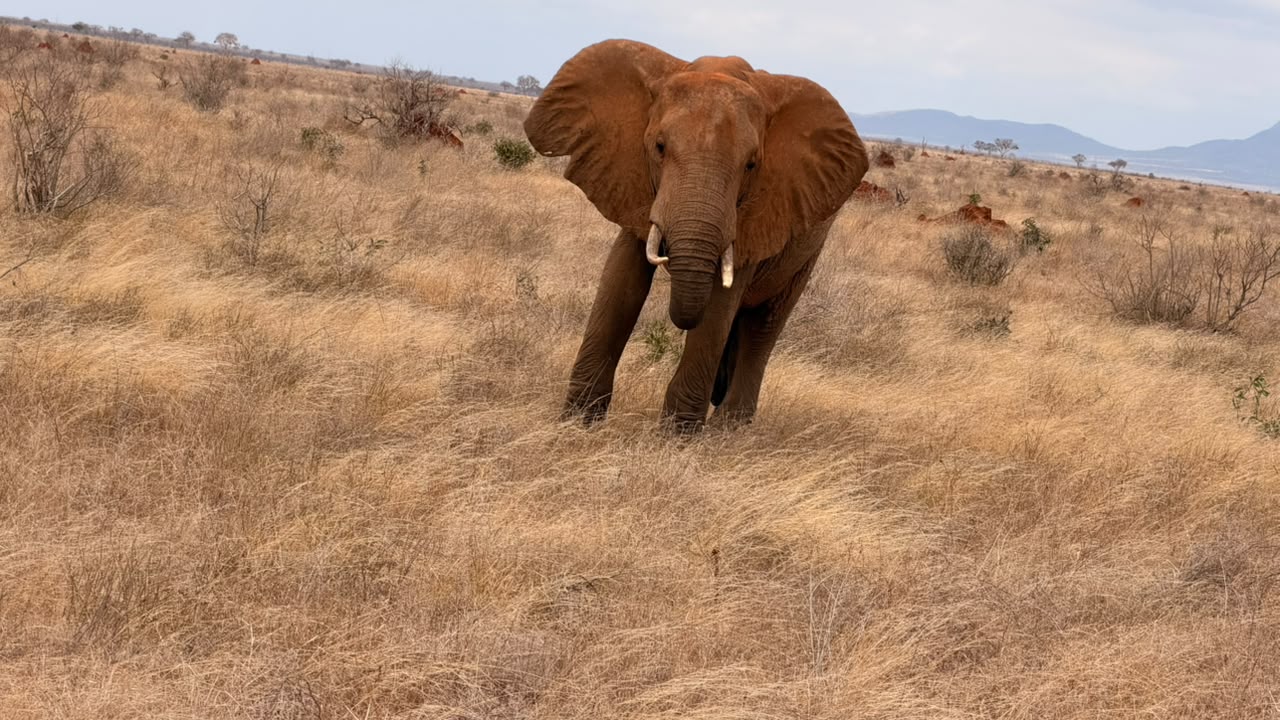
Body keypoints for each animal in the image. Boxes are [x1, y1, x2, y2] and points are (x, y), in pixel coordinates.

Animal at [524, 39, 869, 432]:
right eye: (659, 147)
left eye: (751, 164)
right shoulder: (630, 178)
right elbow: (621, 282)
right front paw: (577, 424)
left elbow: (719, 306)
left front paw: (677, 437)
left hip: (808, 248)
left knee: (763, 325)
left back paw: (730, 430)